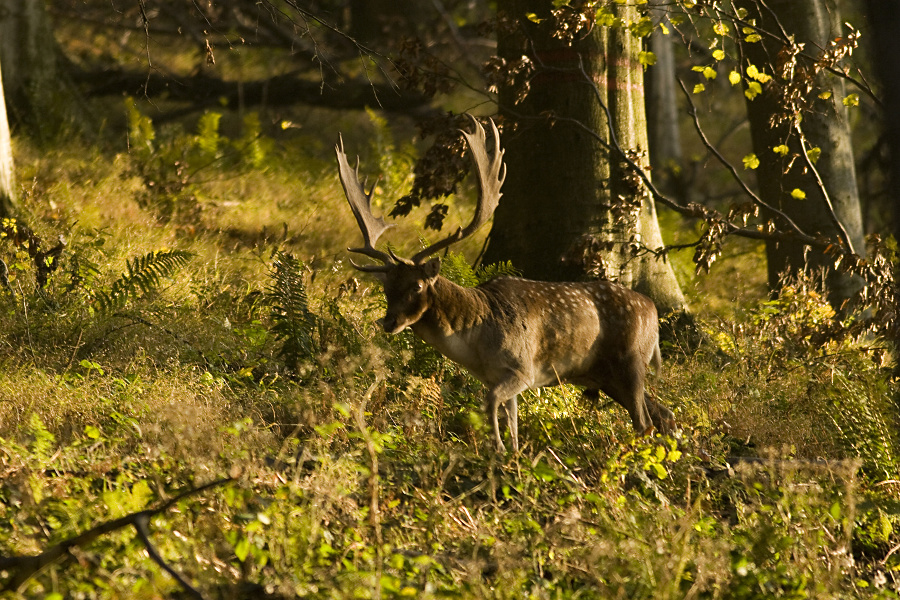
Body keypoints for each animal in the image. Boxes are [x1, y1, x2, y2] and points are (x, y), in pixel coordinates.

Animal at [335, 115, 675, 453]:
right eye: (386, 287)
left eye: (416, 286)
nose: (388, 322)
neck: (475, 344)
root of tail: (653, 311)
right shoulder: (496, 376)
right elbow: (510, 418)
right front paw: (512, 452)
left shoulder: (523, 369)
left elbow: (490, 403)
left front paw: (496, 449)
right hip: (605, 375)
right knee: (663, 413)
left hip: (631, 362)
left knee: (644, 421)